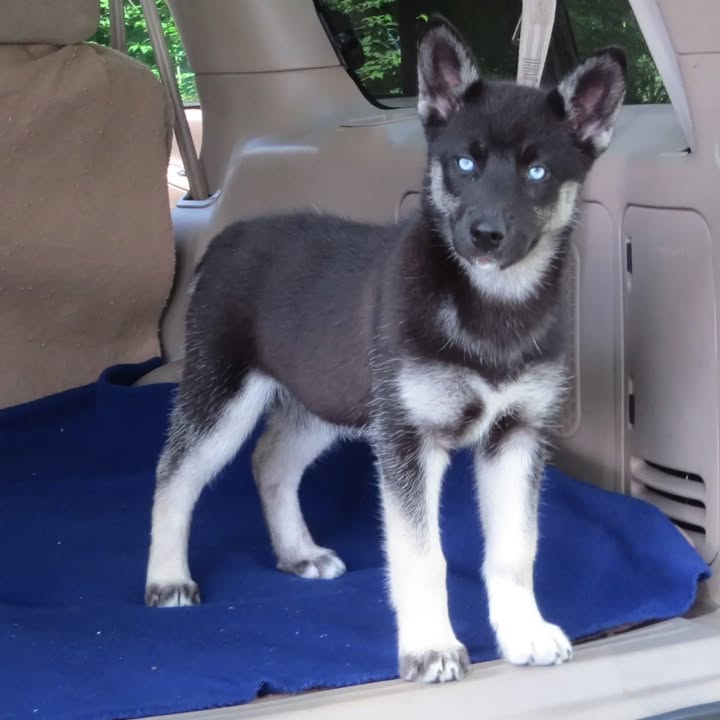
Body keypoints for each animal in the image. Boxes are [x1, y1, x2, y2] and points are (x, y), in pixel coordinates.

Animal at [145, 14, 624, 684]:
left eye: (537, 173)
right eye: (464, 163)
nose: (484, 235)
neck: (488, 304)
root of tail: (227, 235)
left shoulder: (516, 436)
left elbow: (514, 549)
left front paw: (523, 632)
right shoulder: (408, 440)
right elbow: (423, 556)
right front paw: (431, 647)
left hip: (328, 396)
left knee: (270, 460)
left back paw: (298, 553)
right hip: (224, 395)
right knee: (175, 475)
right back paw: (167, 577)